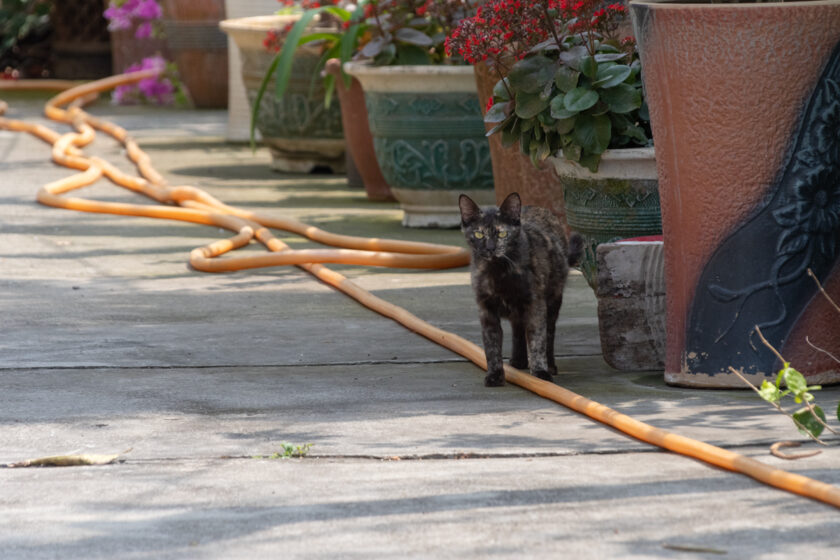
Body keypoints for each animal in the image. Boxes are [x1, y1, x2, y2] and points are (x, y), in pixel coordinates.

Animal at [460, 192, 584, 384]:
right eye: (479, 234)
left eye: (502, 233)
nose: (490, 248)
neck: (499, 273)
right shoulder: (486, 309)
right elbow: (491, 345)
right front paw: (495, 375)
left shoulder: (535, 305)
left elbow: (537, 339)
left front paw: (540, 372)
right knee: (517, 329)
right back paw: (518, 361)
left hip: (553, 300)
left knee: (549, 333)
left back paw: (550, 365)